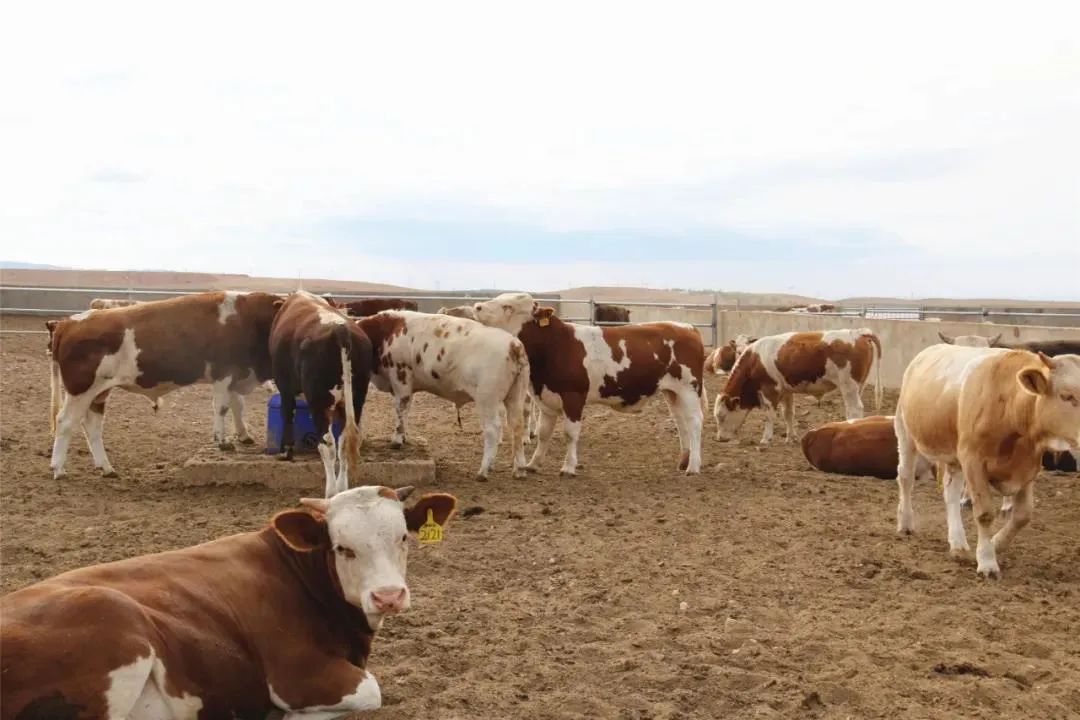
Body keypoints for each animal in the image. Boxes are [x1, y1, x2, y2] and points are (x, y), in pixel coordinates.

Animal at [0, 483, 457, 720]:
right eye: (342, 548)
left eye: (403, 537)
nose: (388, 596)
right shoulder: (296, 676)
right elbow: (370, 690)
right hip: (114, 618)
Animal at [268, 289, 371, 498]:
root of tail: (340, 329)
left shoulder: (285, 386)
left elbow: (287, 413)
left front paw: (286, 451)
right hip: (356, 400)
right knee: (344, 443)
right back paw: (342, 488)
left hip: (319, 402)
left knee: (328, 445)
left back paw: (331, 491)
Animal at [712, 328, 881, 442]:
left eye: (721, 416)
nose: (720, 438)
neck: (755, 359)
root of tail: (859, 332)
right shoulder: (787, 391)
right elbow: (788, 414)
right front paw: (790, 437)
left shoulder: (770, 390)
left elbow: (769, 415)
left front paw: (766, 439)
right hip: (858, 387)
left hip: (848, 387)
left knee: (854, 410)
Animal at [894, 345, 1080, 578]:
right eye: (1066, 396)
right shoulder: (973, 460)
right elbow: (984, 513)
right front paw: (987, 561)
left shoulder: (1028, 466)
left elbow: (1023, 514)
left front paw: (996, 543)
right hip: (905, 432)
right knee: (905, 478)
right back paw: (905, 523)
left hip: (953, 457)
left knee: (951, 494)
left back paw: (958, 543)